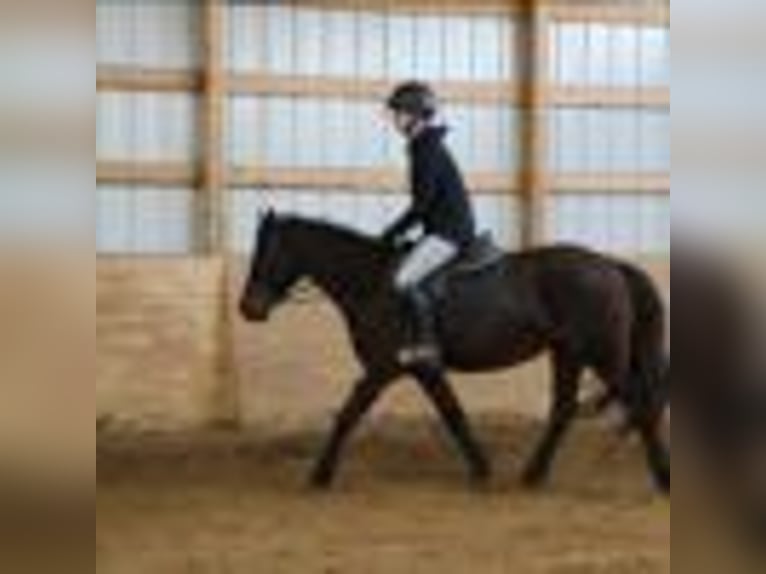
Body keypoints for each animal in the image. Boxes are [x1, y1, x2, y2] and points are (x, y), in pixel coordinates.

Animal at [239, 213, 670, 493]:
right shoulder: (425, 370)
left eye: (266, 252)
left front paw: (319, 475)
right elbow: (453, 415)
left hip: (600, 354)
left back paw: (663, 479)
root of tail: (610, 265)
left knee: (640, 405)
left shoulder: (382, 368)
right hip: (568, 353)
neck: (371, 283)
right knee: (564, 409)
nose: (248, 309)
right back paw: (532, 476)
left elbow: (348, 415)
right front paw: (481, 469)